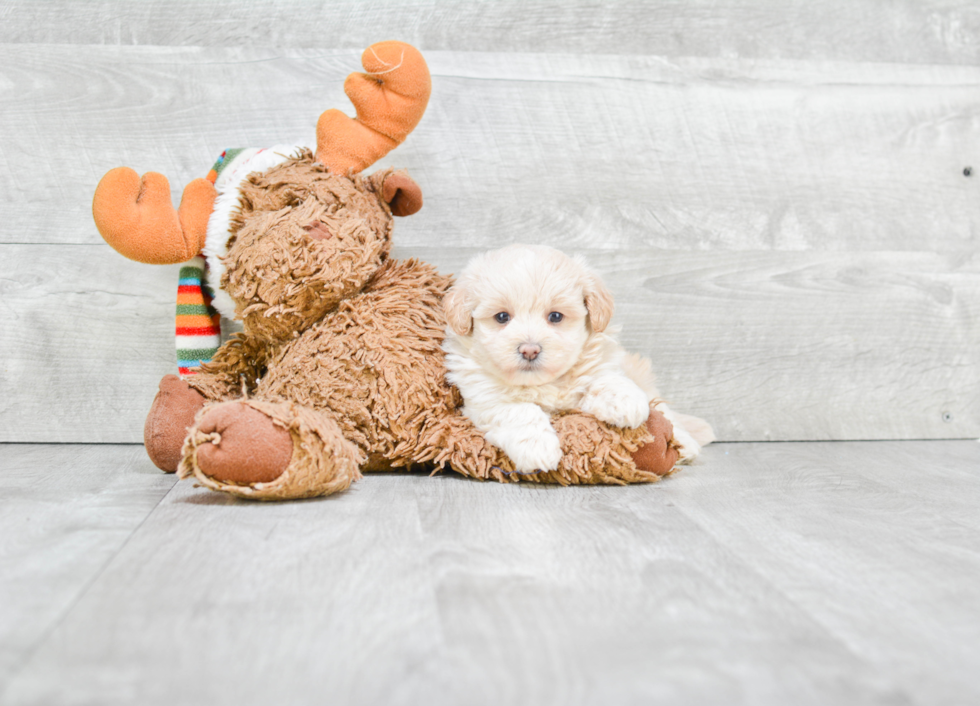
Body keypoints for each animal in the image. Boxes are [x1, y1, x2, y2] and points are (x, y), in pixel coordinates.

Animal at [444, 243, 712, 472]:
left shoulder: (599, 367)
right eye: (501, 317)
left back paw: (686, 444)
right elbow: (520, 411)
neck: (544, 383)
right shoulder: (485, 400)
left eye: (555, 316)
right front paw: (538, 448)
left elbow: (607, 379)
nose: (530, 350)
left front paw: (625, 401)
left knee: (666, 412)